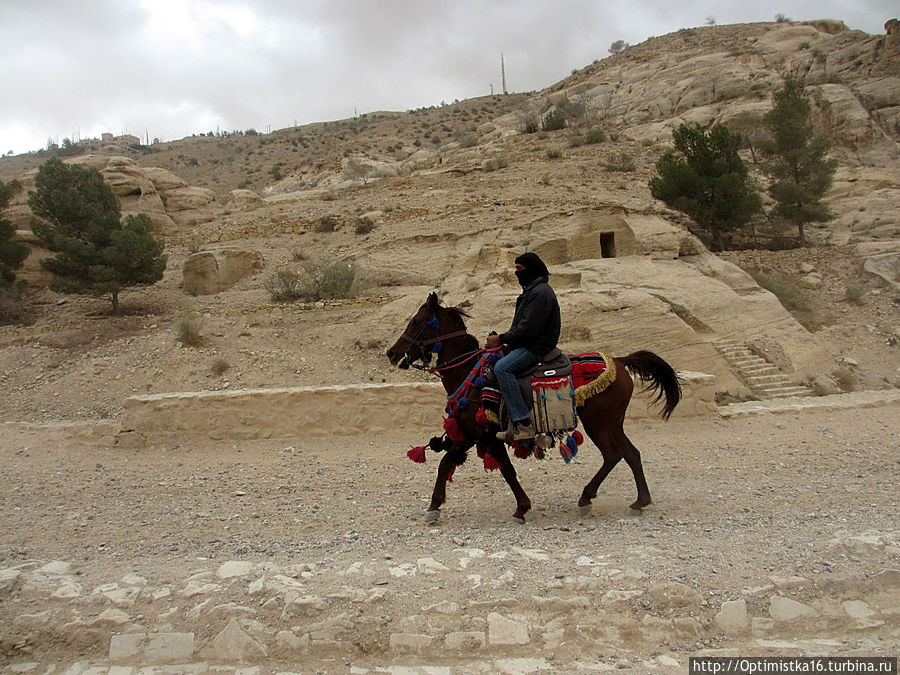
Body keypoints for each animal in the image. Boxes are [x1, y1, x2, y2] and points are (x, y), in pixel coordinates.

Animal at [386, 294, 684, 524]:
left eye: (417, 321)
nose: (391, 353)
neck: (470, 373)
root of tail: (619, 361)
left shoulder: (485, 435)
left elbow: (505, 470)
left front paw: (521, 508)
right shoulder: (470, 435)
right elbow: (446, 464)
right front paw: (434, 507)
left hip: (599, 424)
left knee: (614, 455)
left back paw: (588, 497)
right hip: (613, 423)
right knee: (631, 454)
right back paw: (638, 502)